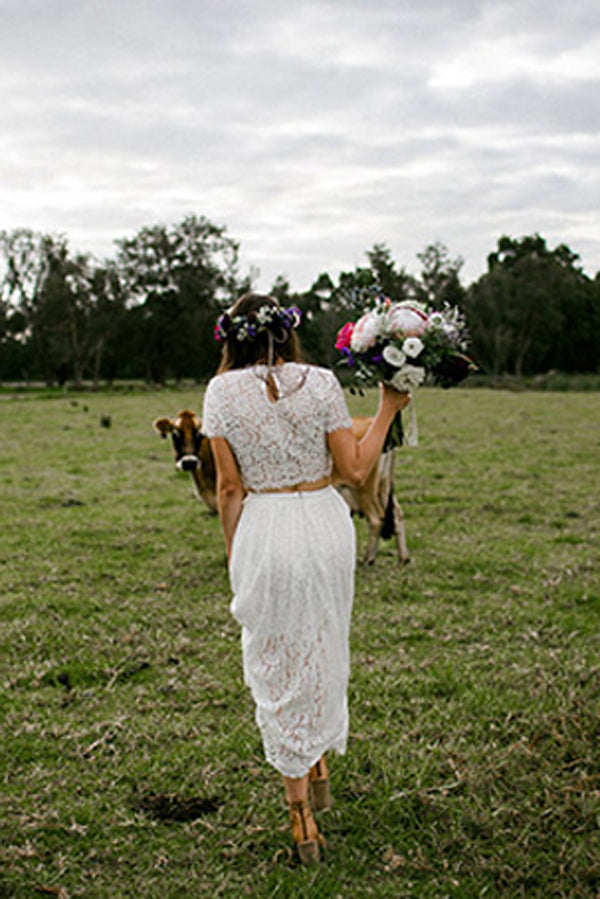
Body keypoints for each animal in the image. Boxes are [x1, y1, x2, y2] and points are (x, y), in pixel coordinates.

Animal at [152, 412, 410, 568]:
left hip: (365, 488)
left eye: (199, 433)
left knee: (376, 518)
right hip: (382, 487)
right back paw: (403, 557)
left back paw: (368, 559)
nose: (188, 462)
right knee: (396, 514)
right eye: (175, 433)